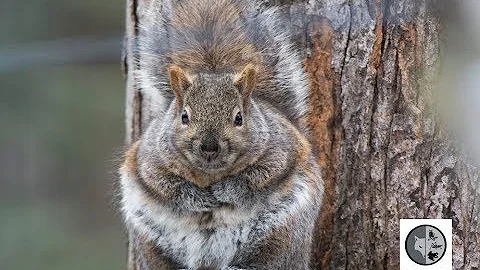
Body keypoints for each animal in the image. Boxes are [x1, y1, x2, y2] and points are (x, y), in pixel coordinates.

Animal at [118, 1, 324, 268]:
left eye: (239, 118)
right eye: (184, 116)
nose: (209, 147)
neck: (210, 174)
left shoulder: (280, 153)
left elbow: (254, 179)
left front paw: (224, 191)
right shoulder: (150, 161)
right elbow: (168, 186)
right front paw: (198, 198)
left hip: (280, 234)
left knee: (268, 260)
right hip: (150, 242)